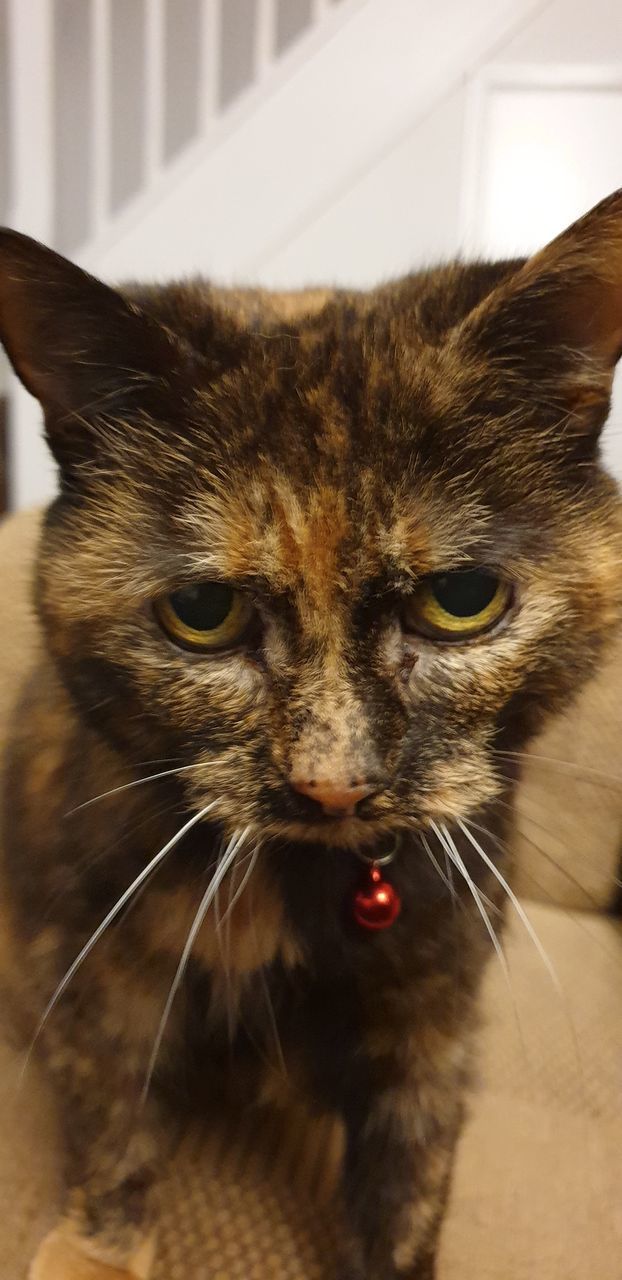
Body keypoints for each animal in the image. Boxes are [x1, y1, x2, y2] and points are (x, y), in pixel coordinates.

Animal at [1, 192, 622, 1280]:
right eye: (201, 611)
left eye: (462, 598)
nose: (336, 782)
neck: (305, 897)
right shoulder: (94, 953)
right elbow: (112, 1112)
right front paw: (97, 1250)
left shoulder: (435, 1010)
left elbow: (410, 1186)